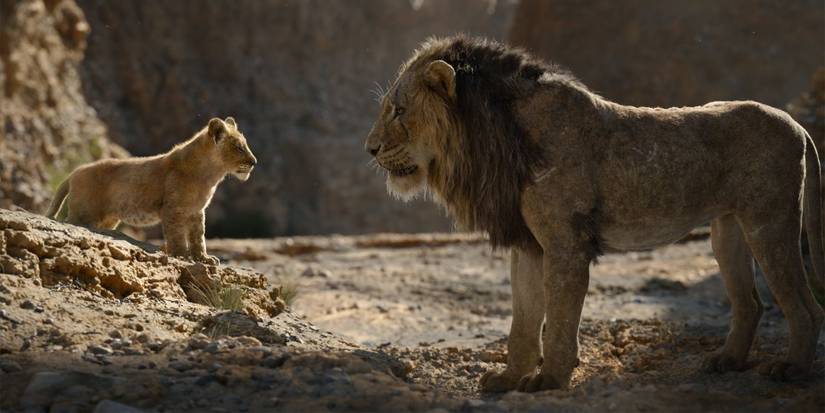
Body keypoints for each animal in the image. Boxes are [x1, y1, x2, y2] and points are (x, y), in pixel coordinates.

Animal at [46, 117, 257, 265]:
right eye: (239, 147)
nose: (254, 162)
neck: (210, 175)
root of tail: (74, 172)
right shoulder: (173, 209)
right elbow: (177, 235)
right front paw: (182, 255)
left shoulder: (197, 211)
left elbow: (199, 236)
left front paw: (203, 258)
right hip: (83, 214)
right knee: (71, 222)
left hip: (107, 219)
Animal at [365, 36, 825, 393]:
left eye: (399, 110)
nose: (369, 149)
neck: (494, 137)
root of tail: (796, 123)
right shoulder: (529, 244)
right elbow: (523, 320)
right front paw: (509, 378)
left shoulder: (565, 244)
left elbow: (559, 317)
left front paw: (549, 379)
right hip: (727, 232)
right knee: (751, 303)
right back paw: (725, 361)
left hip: (769, 222)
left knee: (804, 305)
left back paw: (792, 369)